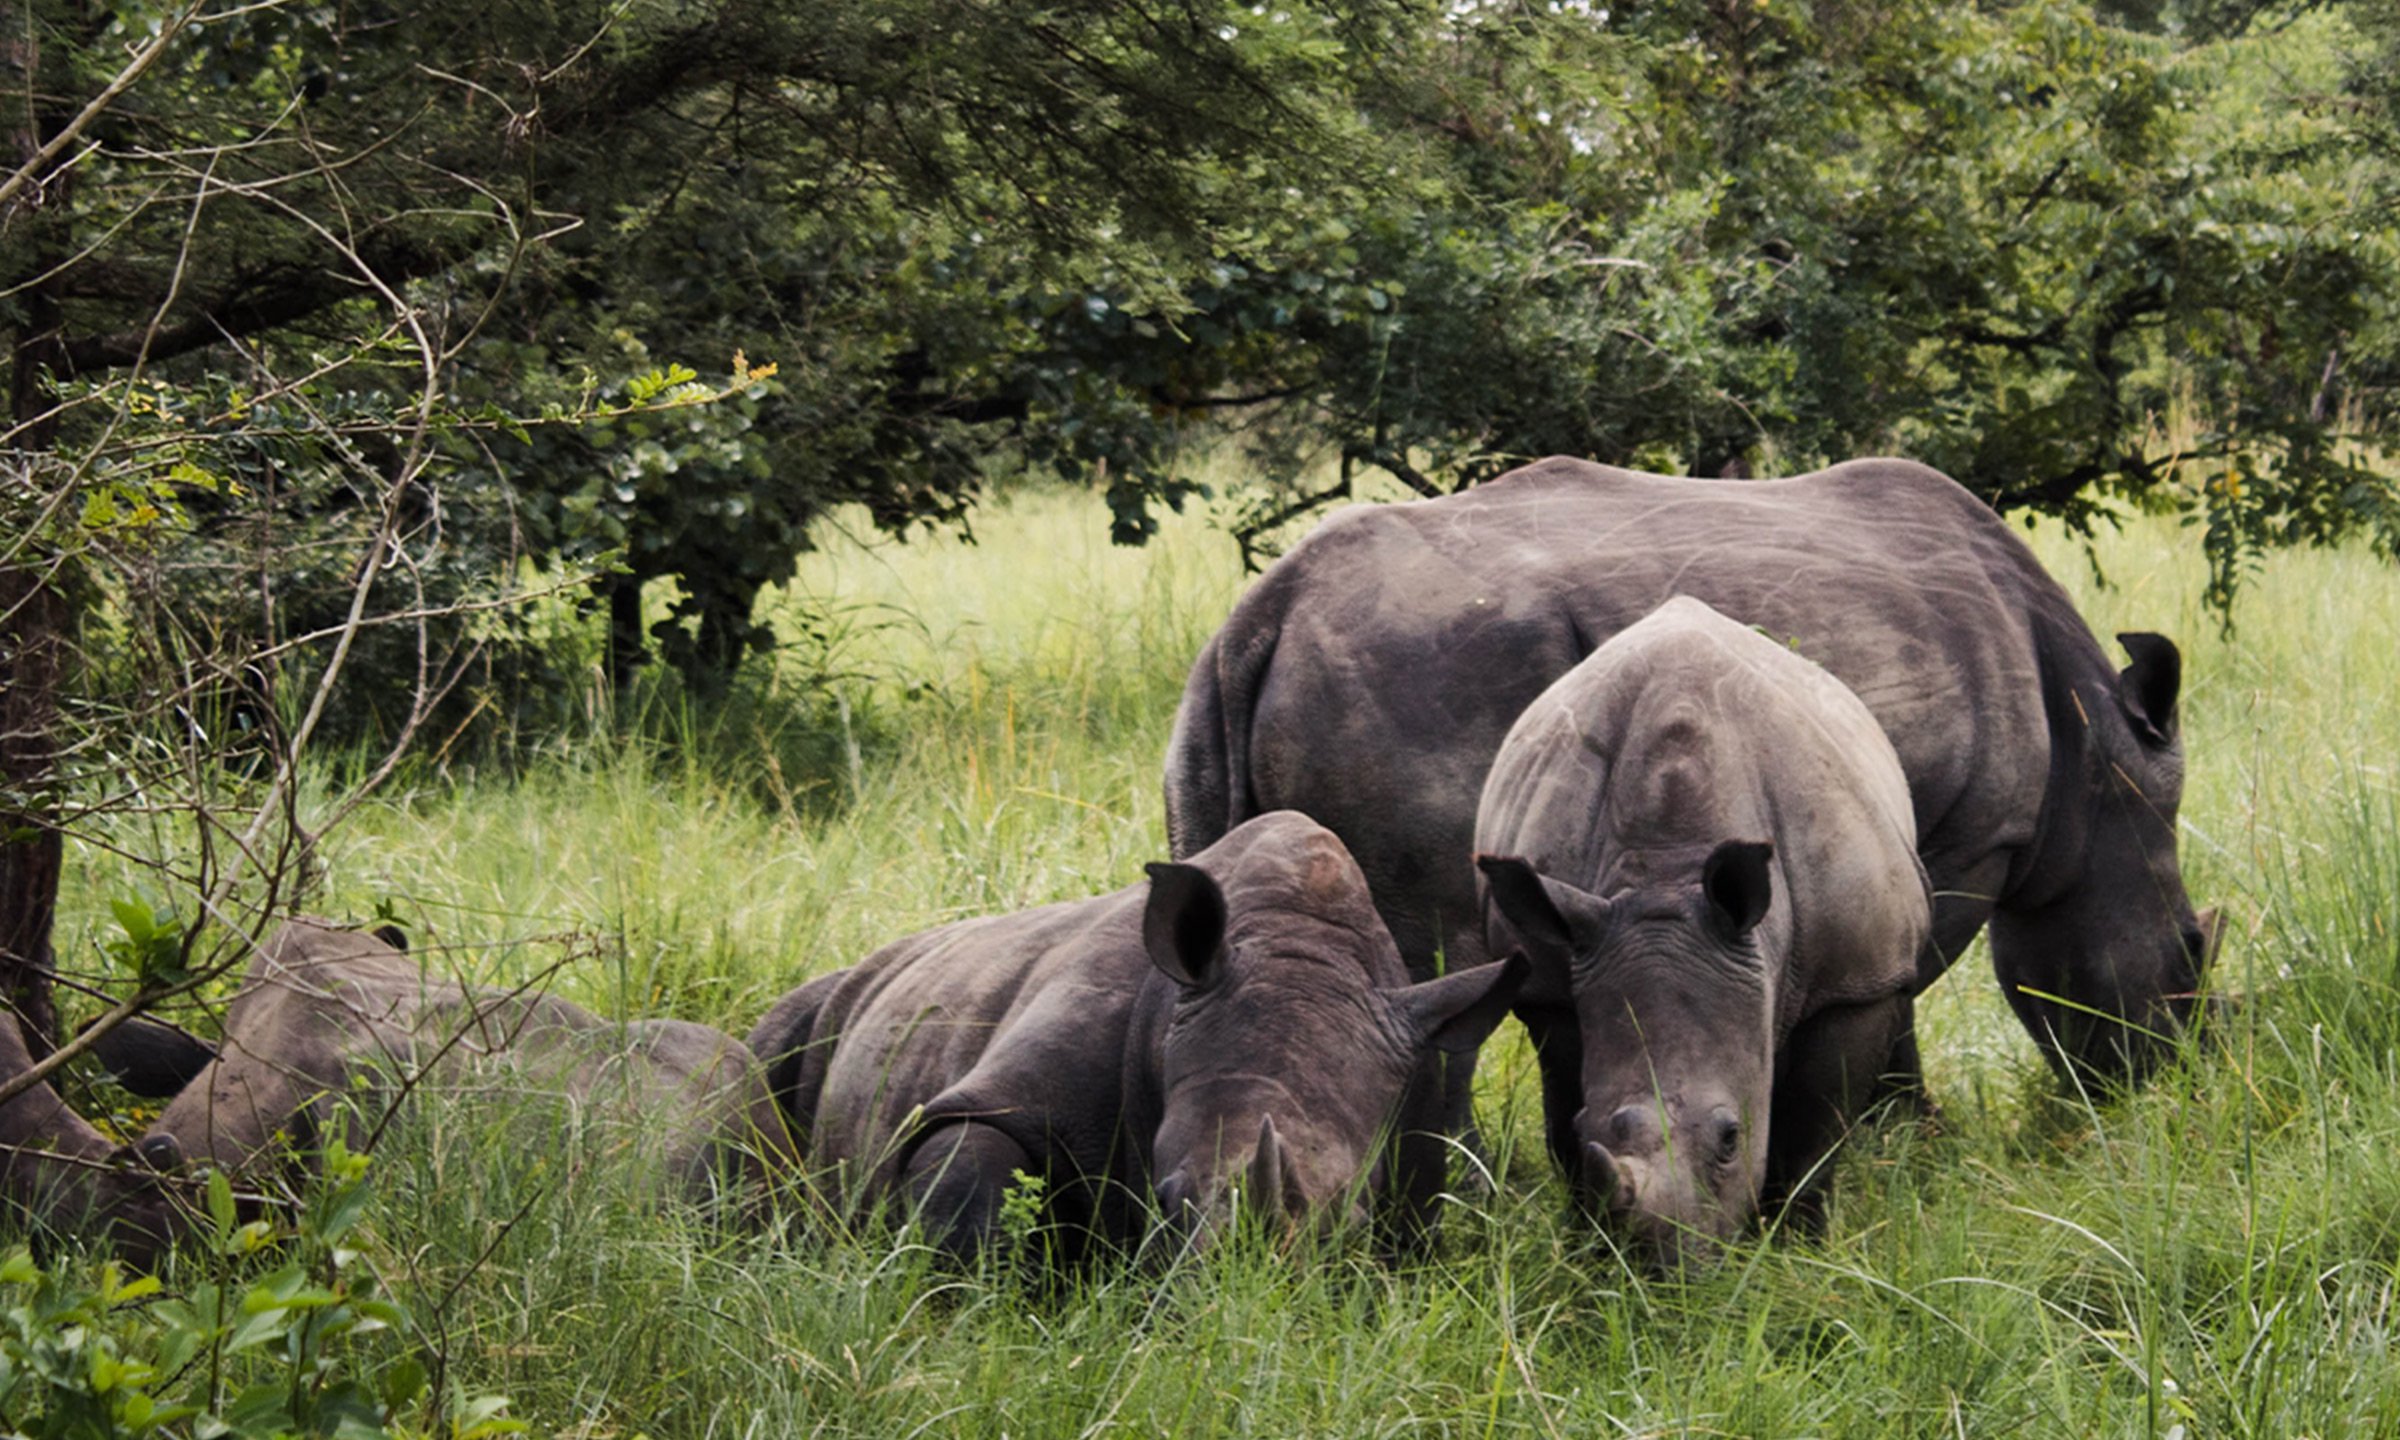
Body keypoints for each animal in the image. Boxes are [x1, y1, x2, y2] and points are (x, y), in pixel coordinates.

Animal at [743, 811, 1524, 1264]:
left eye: (1353, 1228)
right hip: (827, 1002)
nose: (1233, 1302)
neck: (1295, 941)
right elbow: (971, 1186)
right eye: (1168, 1201)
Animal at [1166, 457, 2212, 1121]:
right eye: (2192, 952)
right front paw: (1909, 1137)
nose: (2167, 1086)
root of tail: (1267, 612)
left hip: (1208, 712)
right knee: (1438, 965)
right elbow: (1907, 977)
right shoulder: (1971, 835)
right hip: (1417, 667)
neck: (2095, 769)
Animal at [1474, 597, 1932, 1261]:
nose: (1662, 1271)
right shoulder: (1554, 981)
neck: (1668, 875)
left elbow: (1814, 1132)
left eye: (1730, 1137)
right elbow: (1563, 1119)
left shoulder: (1857, 979)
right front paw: (1588, 1251)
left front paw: (1798, 1249)